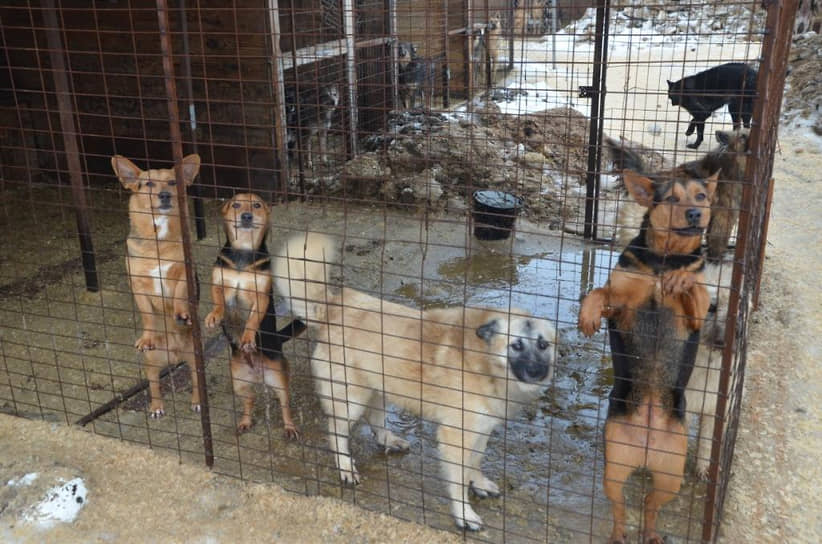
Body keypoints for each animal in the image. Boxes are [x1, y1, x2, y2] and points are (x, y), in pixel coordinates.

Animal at [111, 153, 203, 416]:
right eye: (149, 184)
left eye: (173, 183)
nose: (164, 195)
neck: (157, 244)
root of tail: (173, 356)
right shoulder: (138, 286)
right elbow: (147, 314)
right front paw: (147, 336)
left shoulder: (183, 274)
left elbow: (179, 295)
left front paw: (181, 313)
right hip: (151, 363)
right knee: (153, 384)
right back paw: (156, 406)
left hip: (195, 359)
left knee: (196, 382)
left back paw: (197, 401)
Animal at [206, 193, 306, 440]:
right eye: (236, 204)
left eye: (257, 205)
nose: (246, 216)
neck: (244, 251)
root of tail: (257, 373)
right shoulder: (219, 284)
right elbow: (219, 302)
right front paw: (214, 316)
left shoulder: (260, 297)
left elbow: (251, 321)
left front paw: (248, 339)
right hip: (239, 382)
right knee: (249, 401)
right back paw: (245, 422)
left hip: (279, 379)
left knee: (285, 405)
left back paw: (290, 427)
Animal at [584, 169, 716, 540]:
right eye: (671, 198)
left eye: (701, 196)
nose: (695, 215)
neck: (663, 260)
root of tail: (646, 446)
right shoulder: (619, 307)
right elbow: (598, 293)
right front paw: (587, 316)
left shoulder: (697, 315)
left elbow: (694, 286)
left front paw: (680, 279)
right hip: (614, 469)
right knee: (620, 506)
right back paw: (618, 535)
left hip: (671, 476)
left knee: (649, 505)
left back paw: (653, 533)